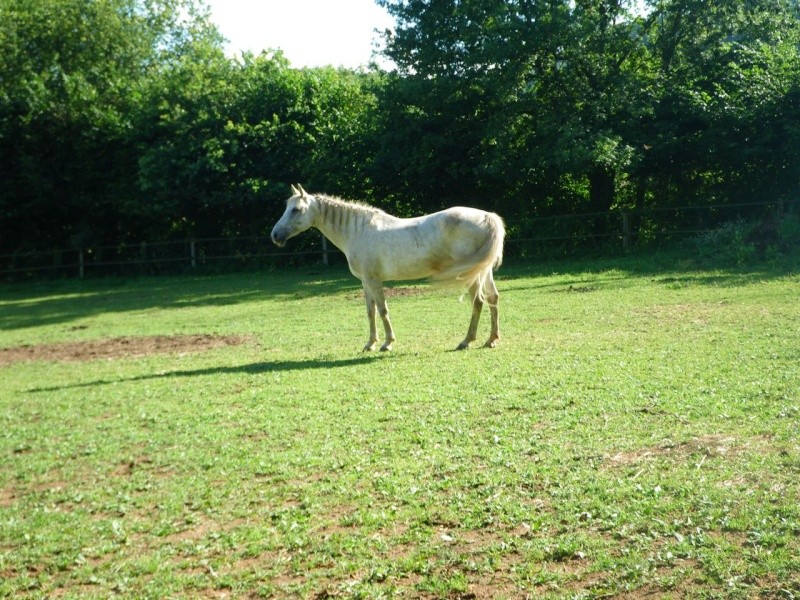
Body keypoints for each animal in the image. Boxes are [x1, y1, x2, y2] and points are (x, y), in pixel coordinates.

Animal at [272, 184, 504, 352]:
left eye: (296, 209)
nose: (275, 236)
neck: (358, 231)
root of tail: (487, 216)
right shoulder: (365, 282)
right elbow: (370, 311)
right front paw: (370, 344)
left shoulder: (374, 280)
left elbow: (383, 309)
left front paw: (387, 343)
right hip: (483, 271)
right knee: (493, 298)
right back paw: (491, 340)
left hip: (471, 275)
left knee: (478, 301)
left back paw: (467, 341)